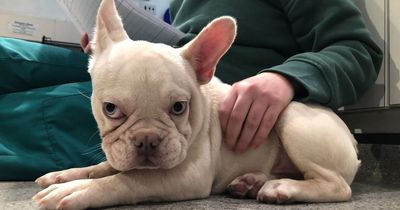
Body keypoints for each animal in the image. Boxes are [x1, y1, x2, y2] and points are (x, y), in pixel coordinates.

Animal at [33, 0, 360, 208]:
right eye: (110, 109)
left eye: (179, 107)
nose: (147, 139)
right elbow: (103, 167)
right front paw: (66, 175)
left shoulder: (187, 176)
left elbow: (129, 179)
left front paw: (78, 190)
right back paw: (251, 182)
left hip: (291, 117)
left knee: (336, 185)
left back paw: (284, 188)